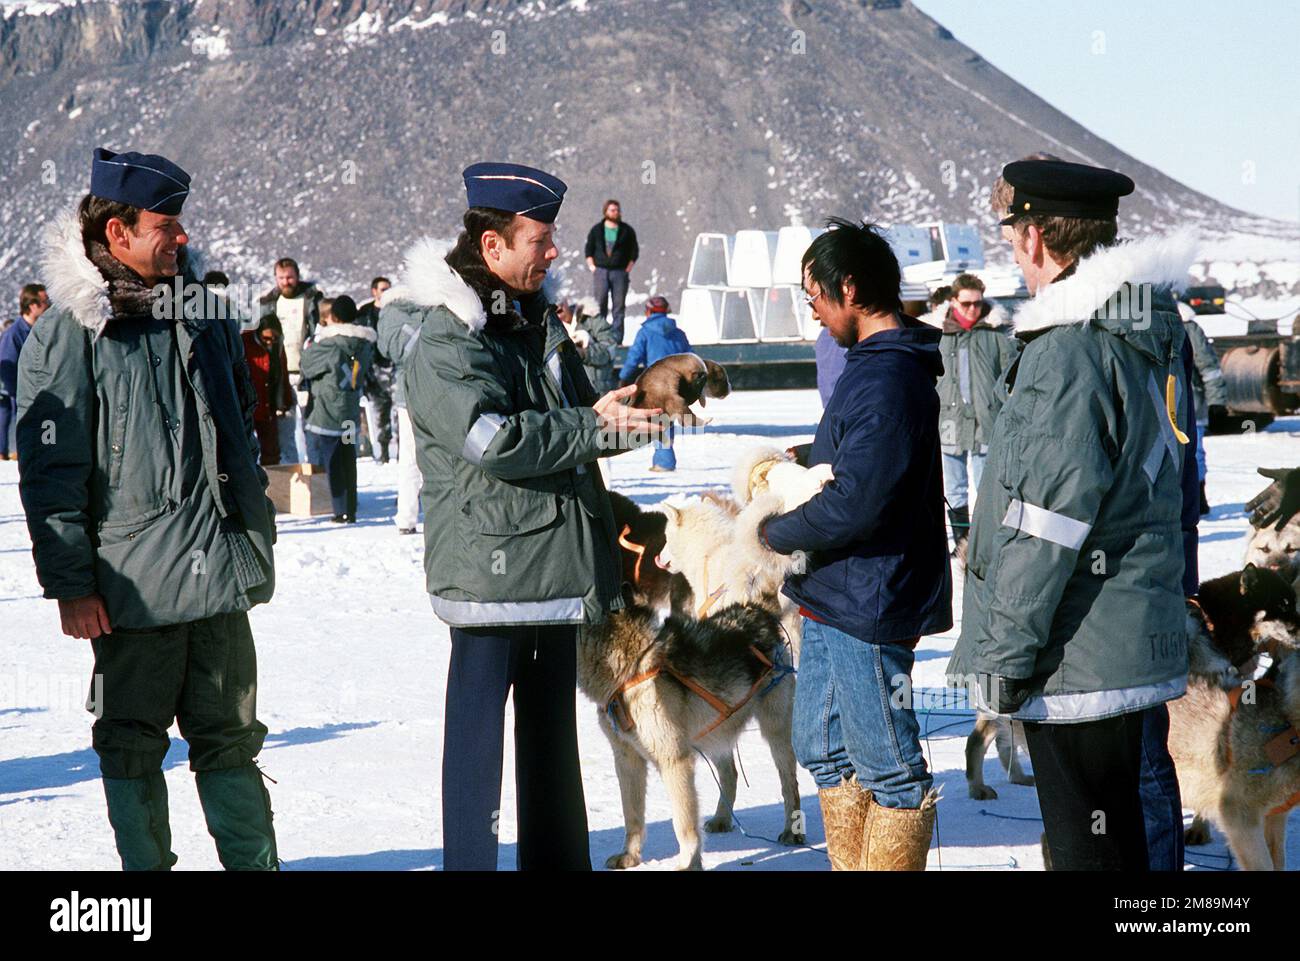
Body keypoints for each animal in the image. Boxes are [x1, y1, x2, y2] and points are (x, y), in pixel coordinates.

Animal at [579, 600, 800, 873]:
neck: (631, 668)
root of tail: (757, 609)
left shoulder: (674, 760)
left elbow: (683, 822)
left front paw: (689, 864)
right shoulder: (626, 759)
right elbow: (632, 814)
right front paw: (630, 856)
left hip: (775, 731)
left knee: (789, 783)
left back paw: (792, 832)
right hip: (717, 733)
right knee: (731, 774)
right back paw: (721, 819)